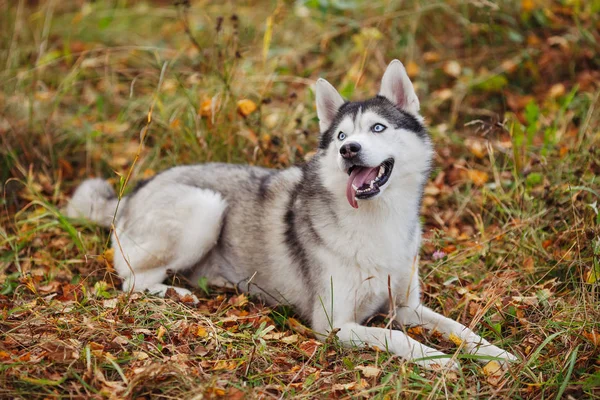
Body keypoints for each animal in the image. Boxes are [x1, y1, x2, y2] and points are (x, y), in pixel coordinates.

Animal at [64, 60, 516, 372]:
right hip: (205, 208)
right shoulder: (335, 325)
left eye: (378, 128)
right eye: (341, 135)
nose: (348, 150)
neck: (376, 221)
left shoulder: (406, 307)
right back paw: (175, 294)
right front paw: (437, 361)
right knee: (132, 281)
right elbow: (395, 338)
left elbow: (460, 328)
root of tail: (134, 190)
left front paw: (498, 354)